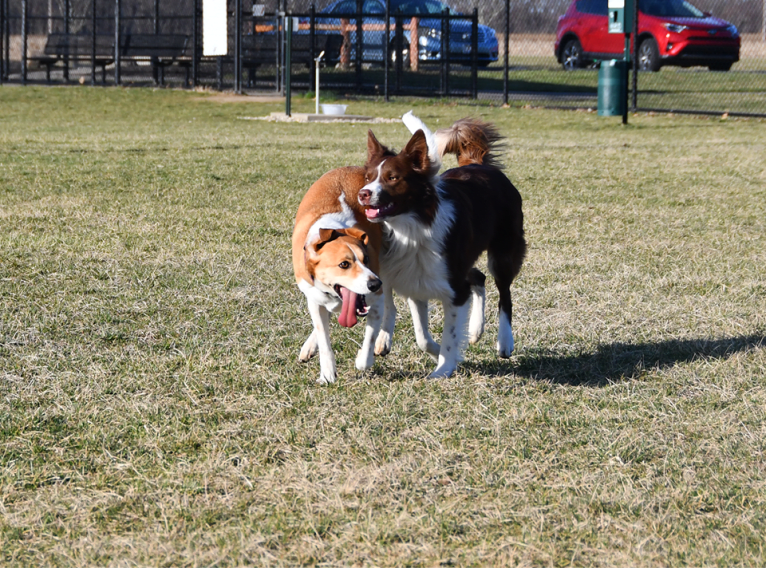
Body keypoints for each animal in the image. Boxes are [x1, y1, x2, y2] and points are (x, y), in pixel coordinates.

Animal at [292, 166, 384, 384]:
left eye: (366, 259)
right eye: (344, 264)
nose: (375, 284)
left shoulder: (376, 299)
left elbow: (369, 340)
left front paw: (362, 359)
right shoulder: (314, 299)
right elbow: (323, 337)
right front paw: (327, 374)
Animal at [360, 111, 528, 380]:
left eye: (392, 178)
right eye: (367, 178)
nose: (363, 194)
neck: (412, 227)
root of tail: (481, 164)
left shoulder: (455, 288)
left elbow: (450, 334)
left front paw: (443, 369)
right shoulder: (417, 280)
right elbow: (422, 336)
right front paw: (440, 354)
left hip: (503, 252)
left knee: (504, 293)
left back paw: (505, 342)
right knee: (478, 277)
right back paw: (476, 330)